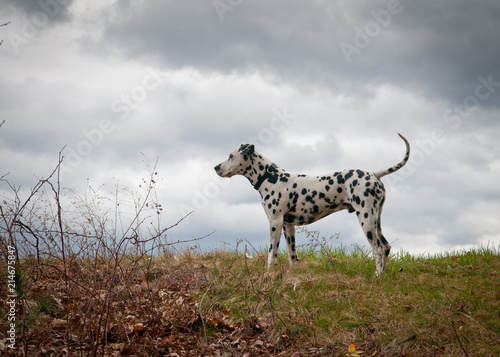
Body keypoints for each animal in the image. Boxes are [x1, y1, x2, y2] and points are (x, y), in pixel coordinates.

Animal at [215, 134, 410, 276]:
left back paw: (376, 276)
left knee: (378, 249)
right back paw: (382, 276)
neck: (271, 177)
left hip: (366, 219)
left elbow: (272, 254)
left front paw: (268, 273)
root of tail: (374, 174)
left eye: (230, 156)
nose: (216, 167)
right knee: (386, 247)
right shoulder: (289, 226)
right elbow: (292, 256)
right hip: (376, 220)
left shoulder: (275, 223)